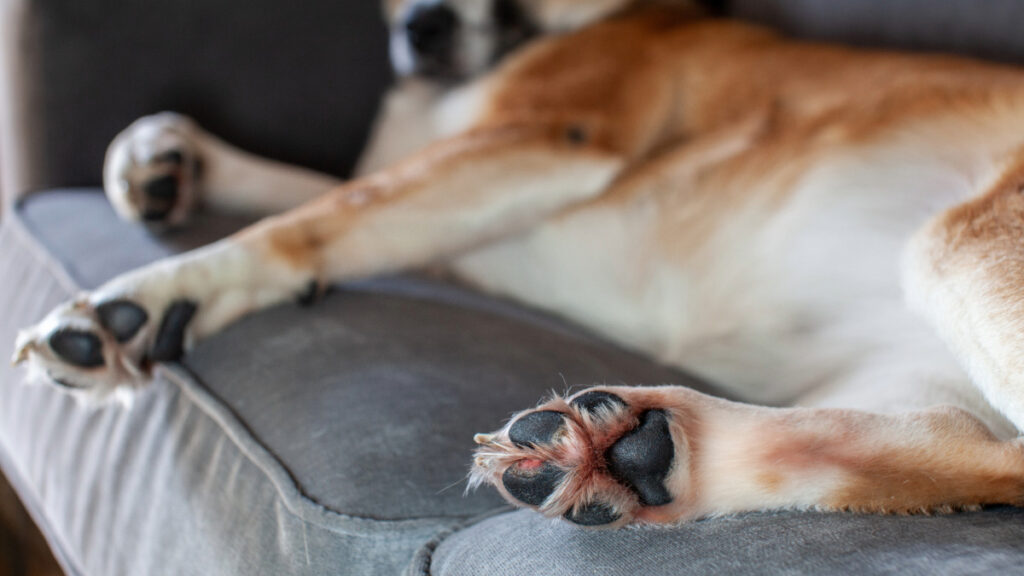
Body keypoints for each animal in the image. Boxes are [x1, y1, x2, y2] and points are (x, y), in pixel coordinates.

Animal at [14, 0, 1024, 528]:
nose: (422, 28)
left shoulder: (547, 140)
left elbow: (327, 208)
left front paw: (139, 302)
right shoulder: (461, 224)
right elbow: (331, 191)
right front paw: (165, 161)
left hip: (960, 239)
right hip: (909, 364)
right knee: (957, 447)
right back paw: (631, 455)